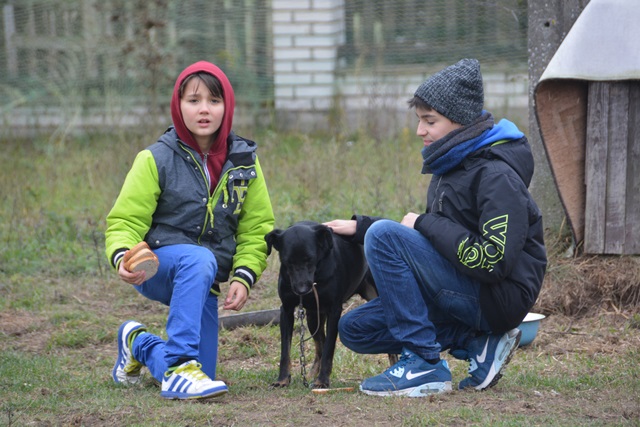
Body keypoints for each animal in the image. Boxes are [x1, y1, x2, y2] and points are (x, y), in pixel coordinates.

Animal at [265, 221, 379, 389]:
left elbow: (328, 350)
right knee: (320, 345)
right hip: (313, 317)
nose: (301, 290)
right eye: (287, 262)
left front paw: (322, 380)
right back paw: (311, 373)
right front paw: (283, 379)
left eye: (310, 259)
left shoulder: (334, 311)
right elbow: (285, 351)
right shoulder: (286, 310)